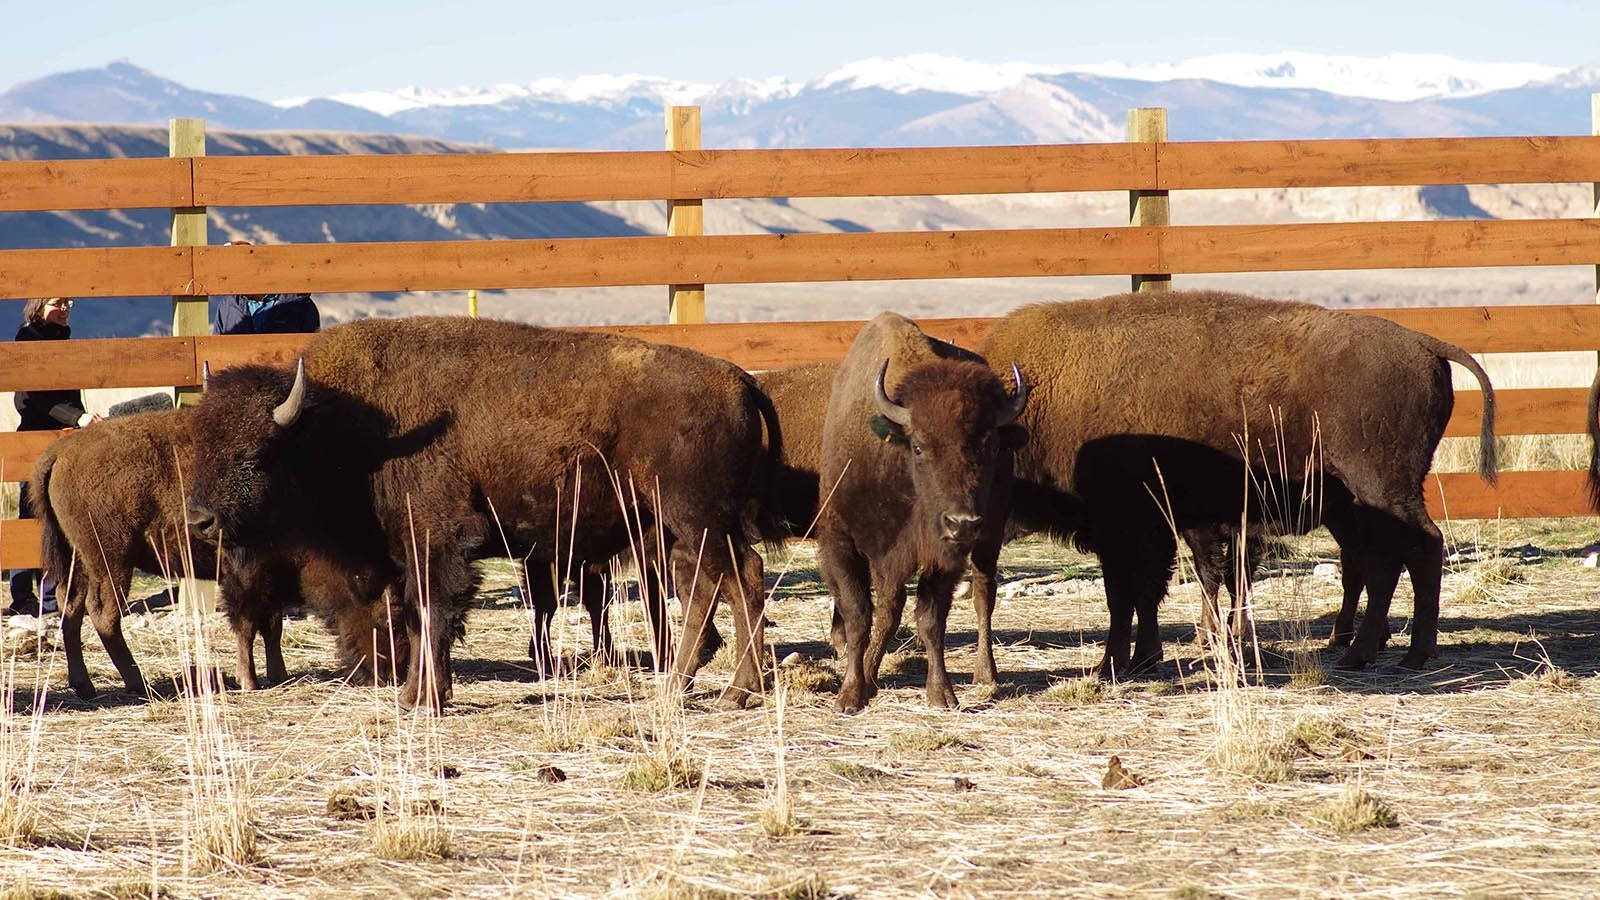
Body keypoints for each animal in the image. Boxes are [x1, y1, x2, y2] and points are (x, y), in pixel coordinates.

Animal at [184, 317, 780, 711]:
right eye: (198, 447)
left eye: (256, 454)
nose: (201, 521)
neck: (341, 427)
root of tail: (740, 380)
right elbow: (418, 613)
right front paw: (420, 693)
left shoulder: (437, 540)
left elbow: (431, 611)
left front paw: (422, 697)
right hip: (681, 527)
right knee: (723, 582)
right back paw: (707, 688)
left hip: (695, 517)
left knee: (732, 579)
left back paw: (718, 690)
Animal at [818, 312, 1027, 712]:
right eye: (918, 447)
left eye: (991, 445)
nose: (962, 523)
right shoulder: (840, 542)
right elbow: (858, 615)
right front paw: (851, 694)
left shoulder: (944, 558)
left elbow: (931, 620)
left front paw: (942, 694)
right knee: (889, 607)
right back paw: (870, 676)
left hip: (990, 534)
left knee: (983, 593)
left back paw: (985, 673)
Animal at [978, 290, 1496, 679]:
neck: (1040, 399)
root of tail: (1425, 344)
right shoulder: (1167, 526)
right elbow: (1155, 591)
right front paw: (1147, 658)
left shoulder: (1129, 526)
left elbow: (1128, 593)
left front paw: (1113, 665)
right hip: (1363, 500)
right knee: (1384, 560)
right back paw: (1368, 651)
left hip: (1381, 489)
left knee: (1414, 550)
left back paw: (1399, 654)